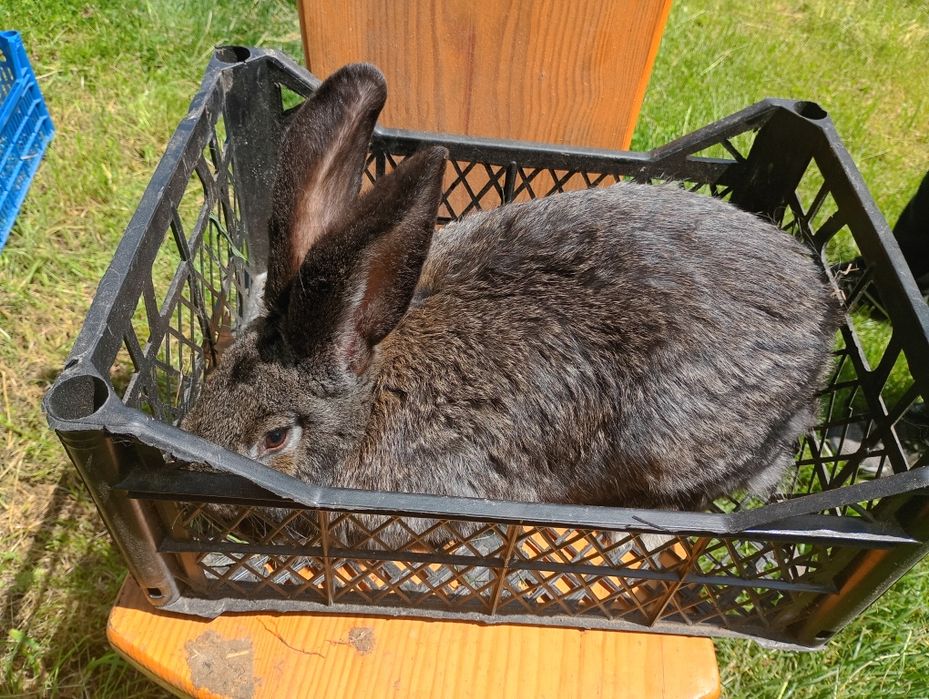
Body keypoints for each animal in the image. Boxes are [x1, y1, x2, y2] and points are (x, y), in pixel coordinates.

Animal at [181, 63, 841, 548]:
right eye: (213, 375)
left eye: (274, 439)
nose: (201, 482)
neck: (369, 395)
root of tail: (823, 315)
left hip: (675, 451)